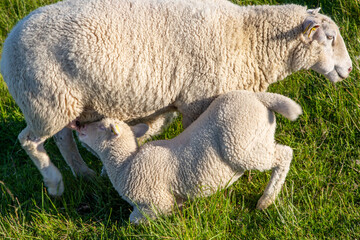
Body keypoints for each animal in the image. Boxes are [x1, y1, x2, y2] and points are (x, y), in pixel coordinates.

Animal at [0, 0, 352, 196]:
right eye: (330, 38)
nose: (349, 69)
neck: (247, 38)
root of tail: (11, 39)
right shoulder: (198, 98)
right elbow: (193, 144)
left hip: (63, 101)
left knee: (63, 137)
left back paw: (83, 173)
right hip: (44, 99)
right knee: (30, 140)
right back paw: (55, 182)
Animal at [77, 90, 302, 223]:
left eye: (100, 126)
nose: (79, 126)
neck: (124, 164)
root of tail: (259, 98)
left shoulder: (156, 200)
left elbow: (137, 218)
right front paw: (181, 207)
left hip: (241, 145)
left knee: (284, 154)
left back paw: (267, 199)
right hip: (259, 135)